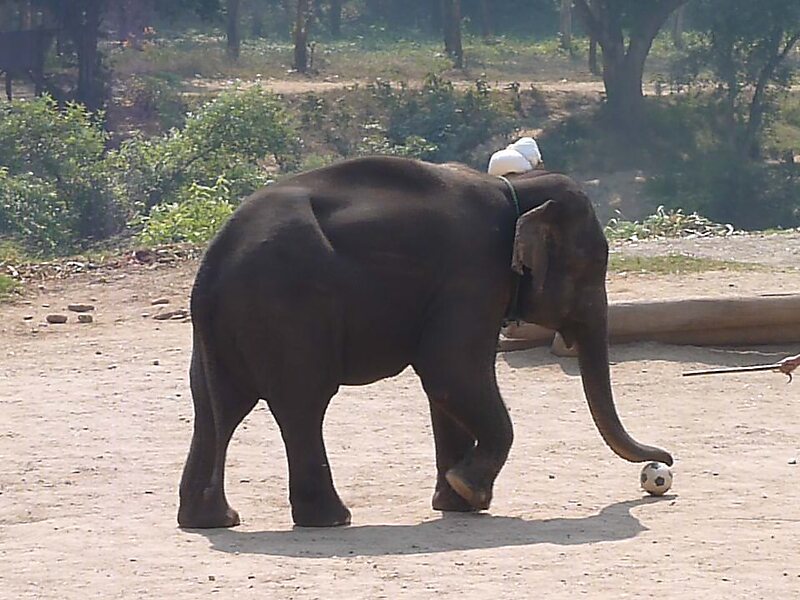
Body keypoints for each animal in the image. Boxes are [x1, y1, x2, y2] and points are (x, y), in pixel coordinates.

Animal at [177, 156, 673, 529]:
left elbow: (447, 388)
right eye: (590, 267)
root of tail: (212, 265)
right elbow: (450, 369)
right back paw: (332, 518)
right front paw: (469, 489)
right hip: (288, 310)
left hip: (224, 332)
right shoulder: (474, 272)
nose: (663, 463)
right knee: (303, 403)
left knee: (217, 406)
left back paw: (213, 519)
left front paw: (456, 501)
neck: (516, 190)